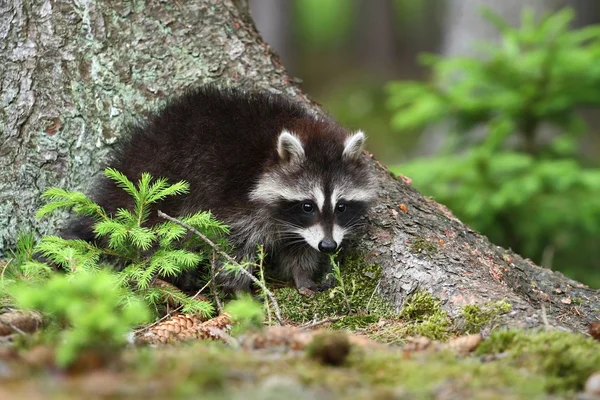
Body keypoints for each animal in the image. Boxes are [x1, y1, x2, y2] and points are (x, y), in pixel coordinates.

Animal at [69, 85, 376, 294]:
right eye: (308, 205)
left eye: (341, 206)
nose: (329, 246)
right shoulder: (235, 203)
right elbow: (234, 247)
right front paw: (240, 289)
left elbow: (299, 247)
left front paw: (302, 275)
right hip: (160, 184)